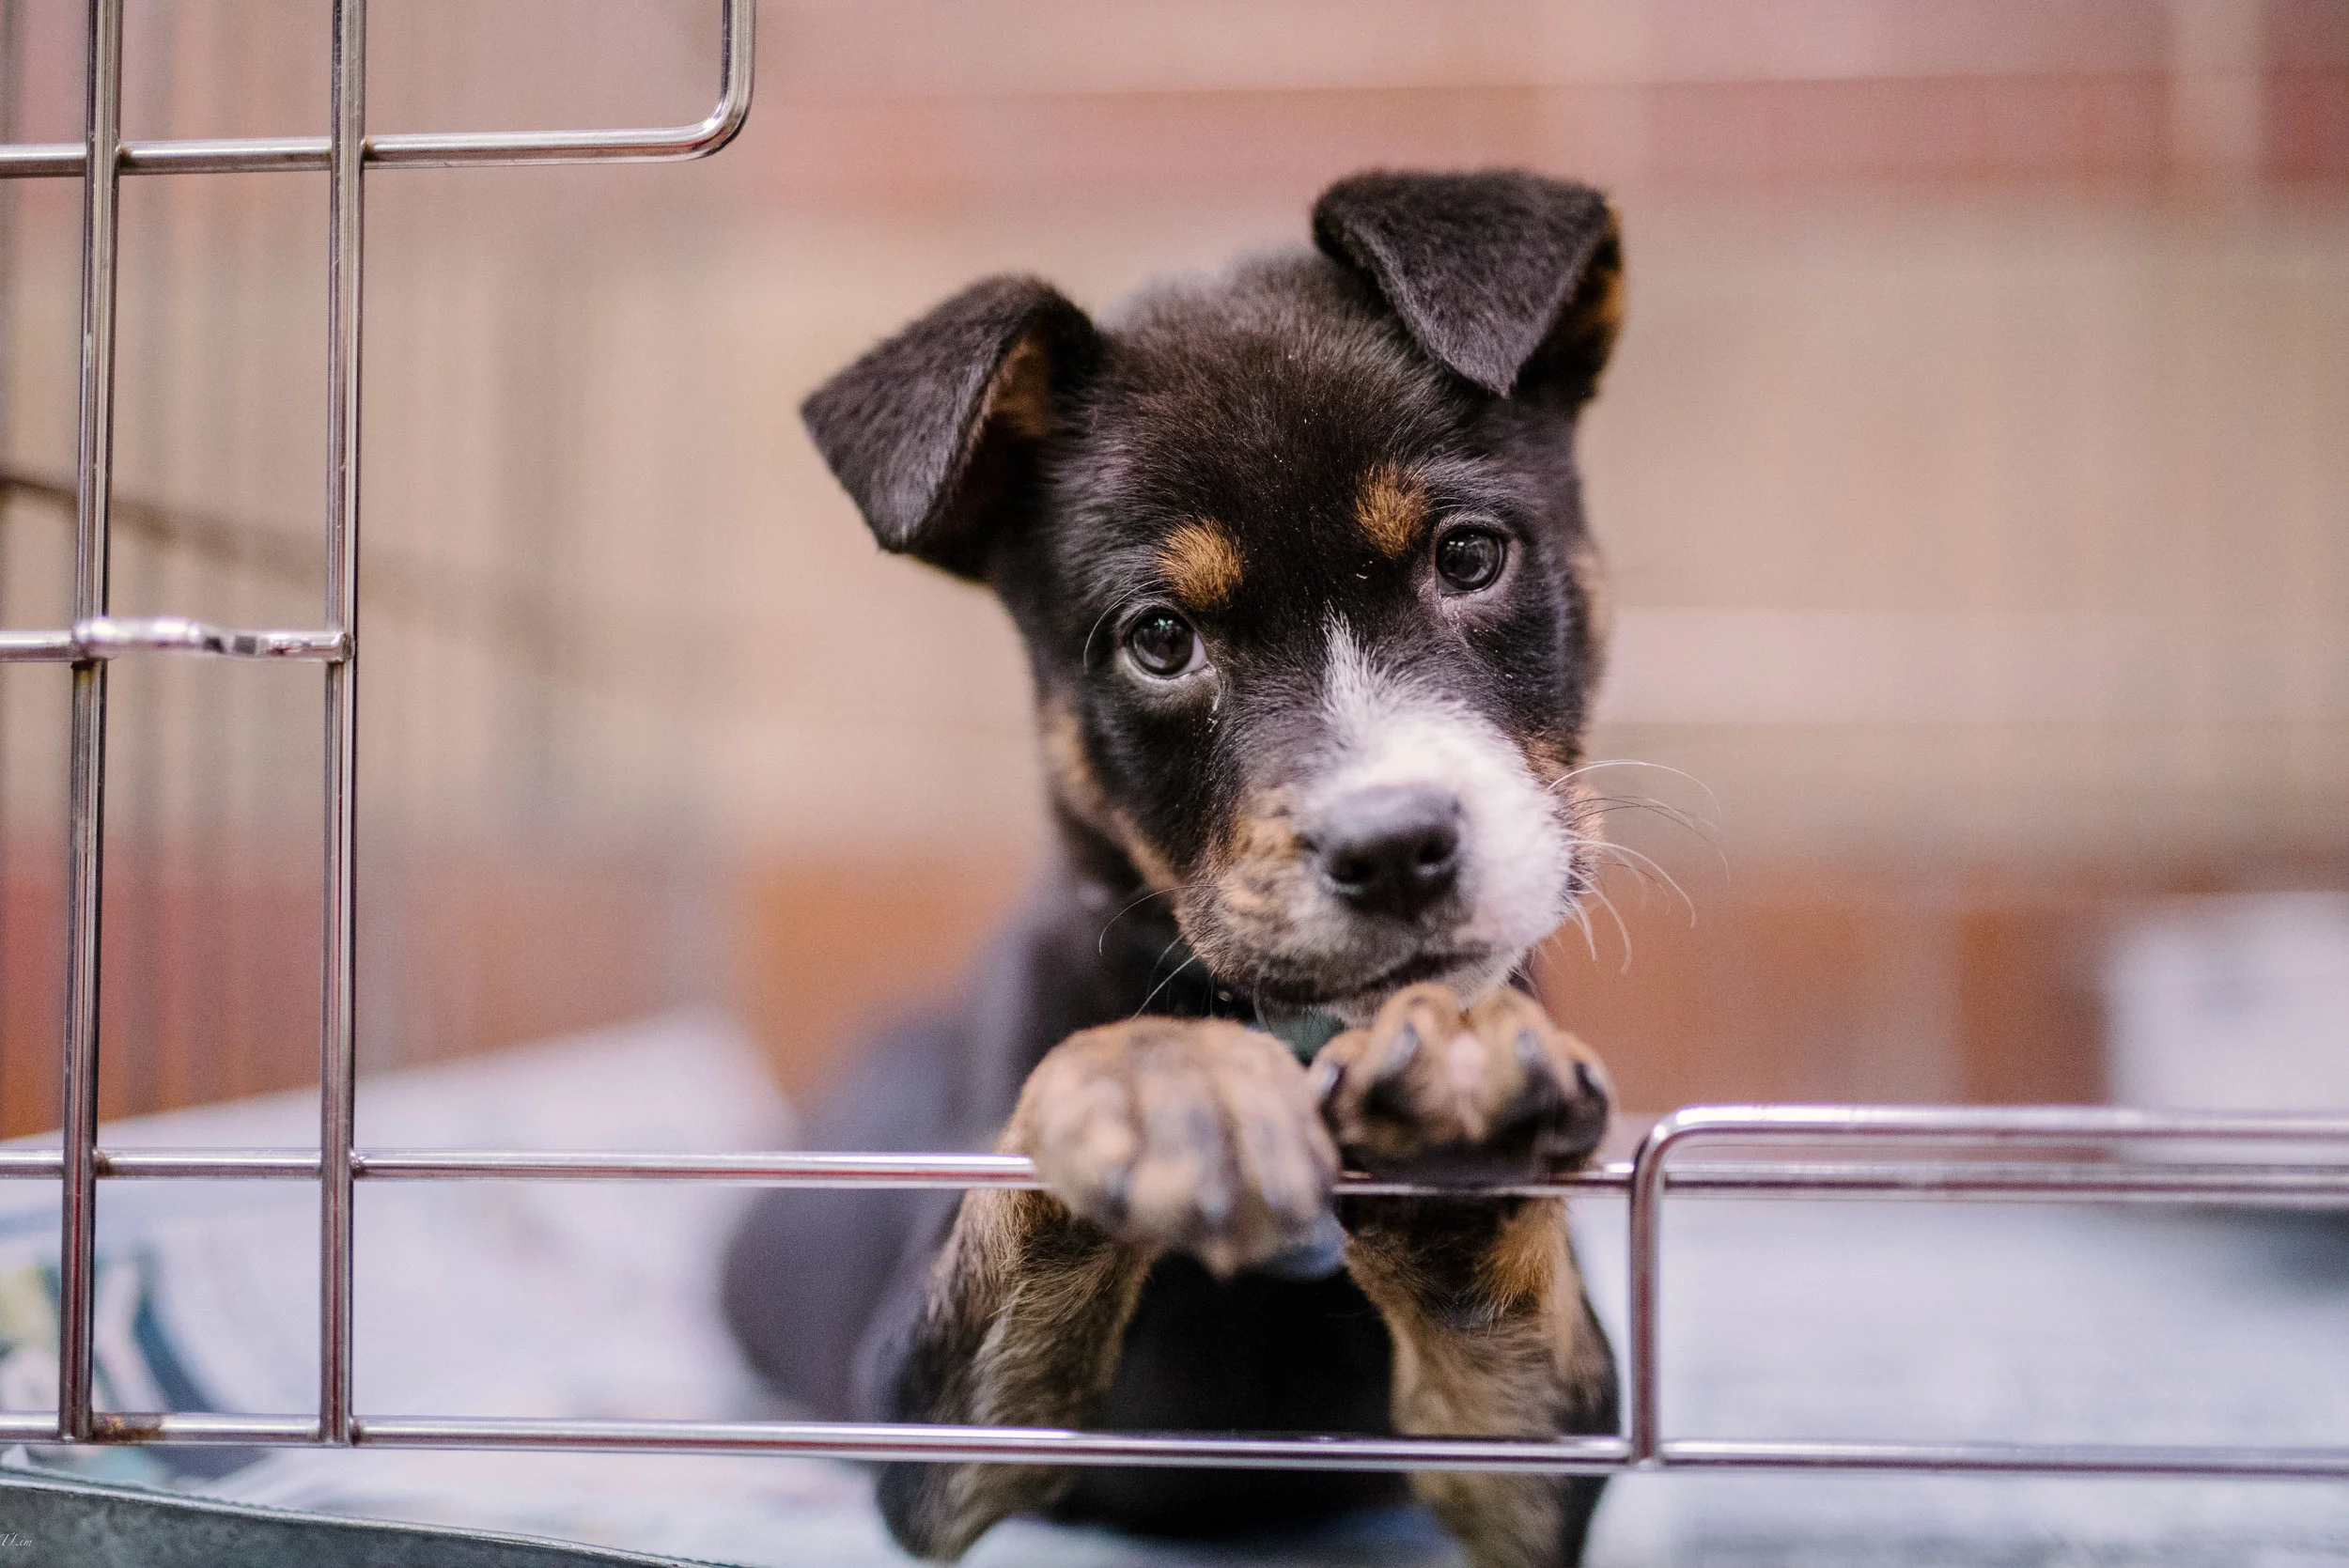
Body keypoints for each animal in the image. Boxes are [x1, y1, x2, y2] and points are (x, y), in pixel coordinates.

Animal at [723, 168, 1626, 1568]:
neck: (1297, 1029)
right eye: (1159, 639)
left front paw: (1467, 1076)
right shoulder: (921, 1424)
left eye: (1470, 556)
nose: (1392, 847)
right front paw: (1164, 1082)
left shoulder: (1545, 1449)